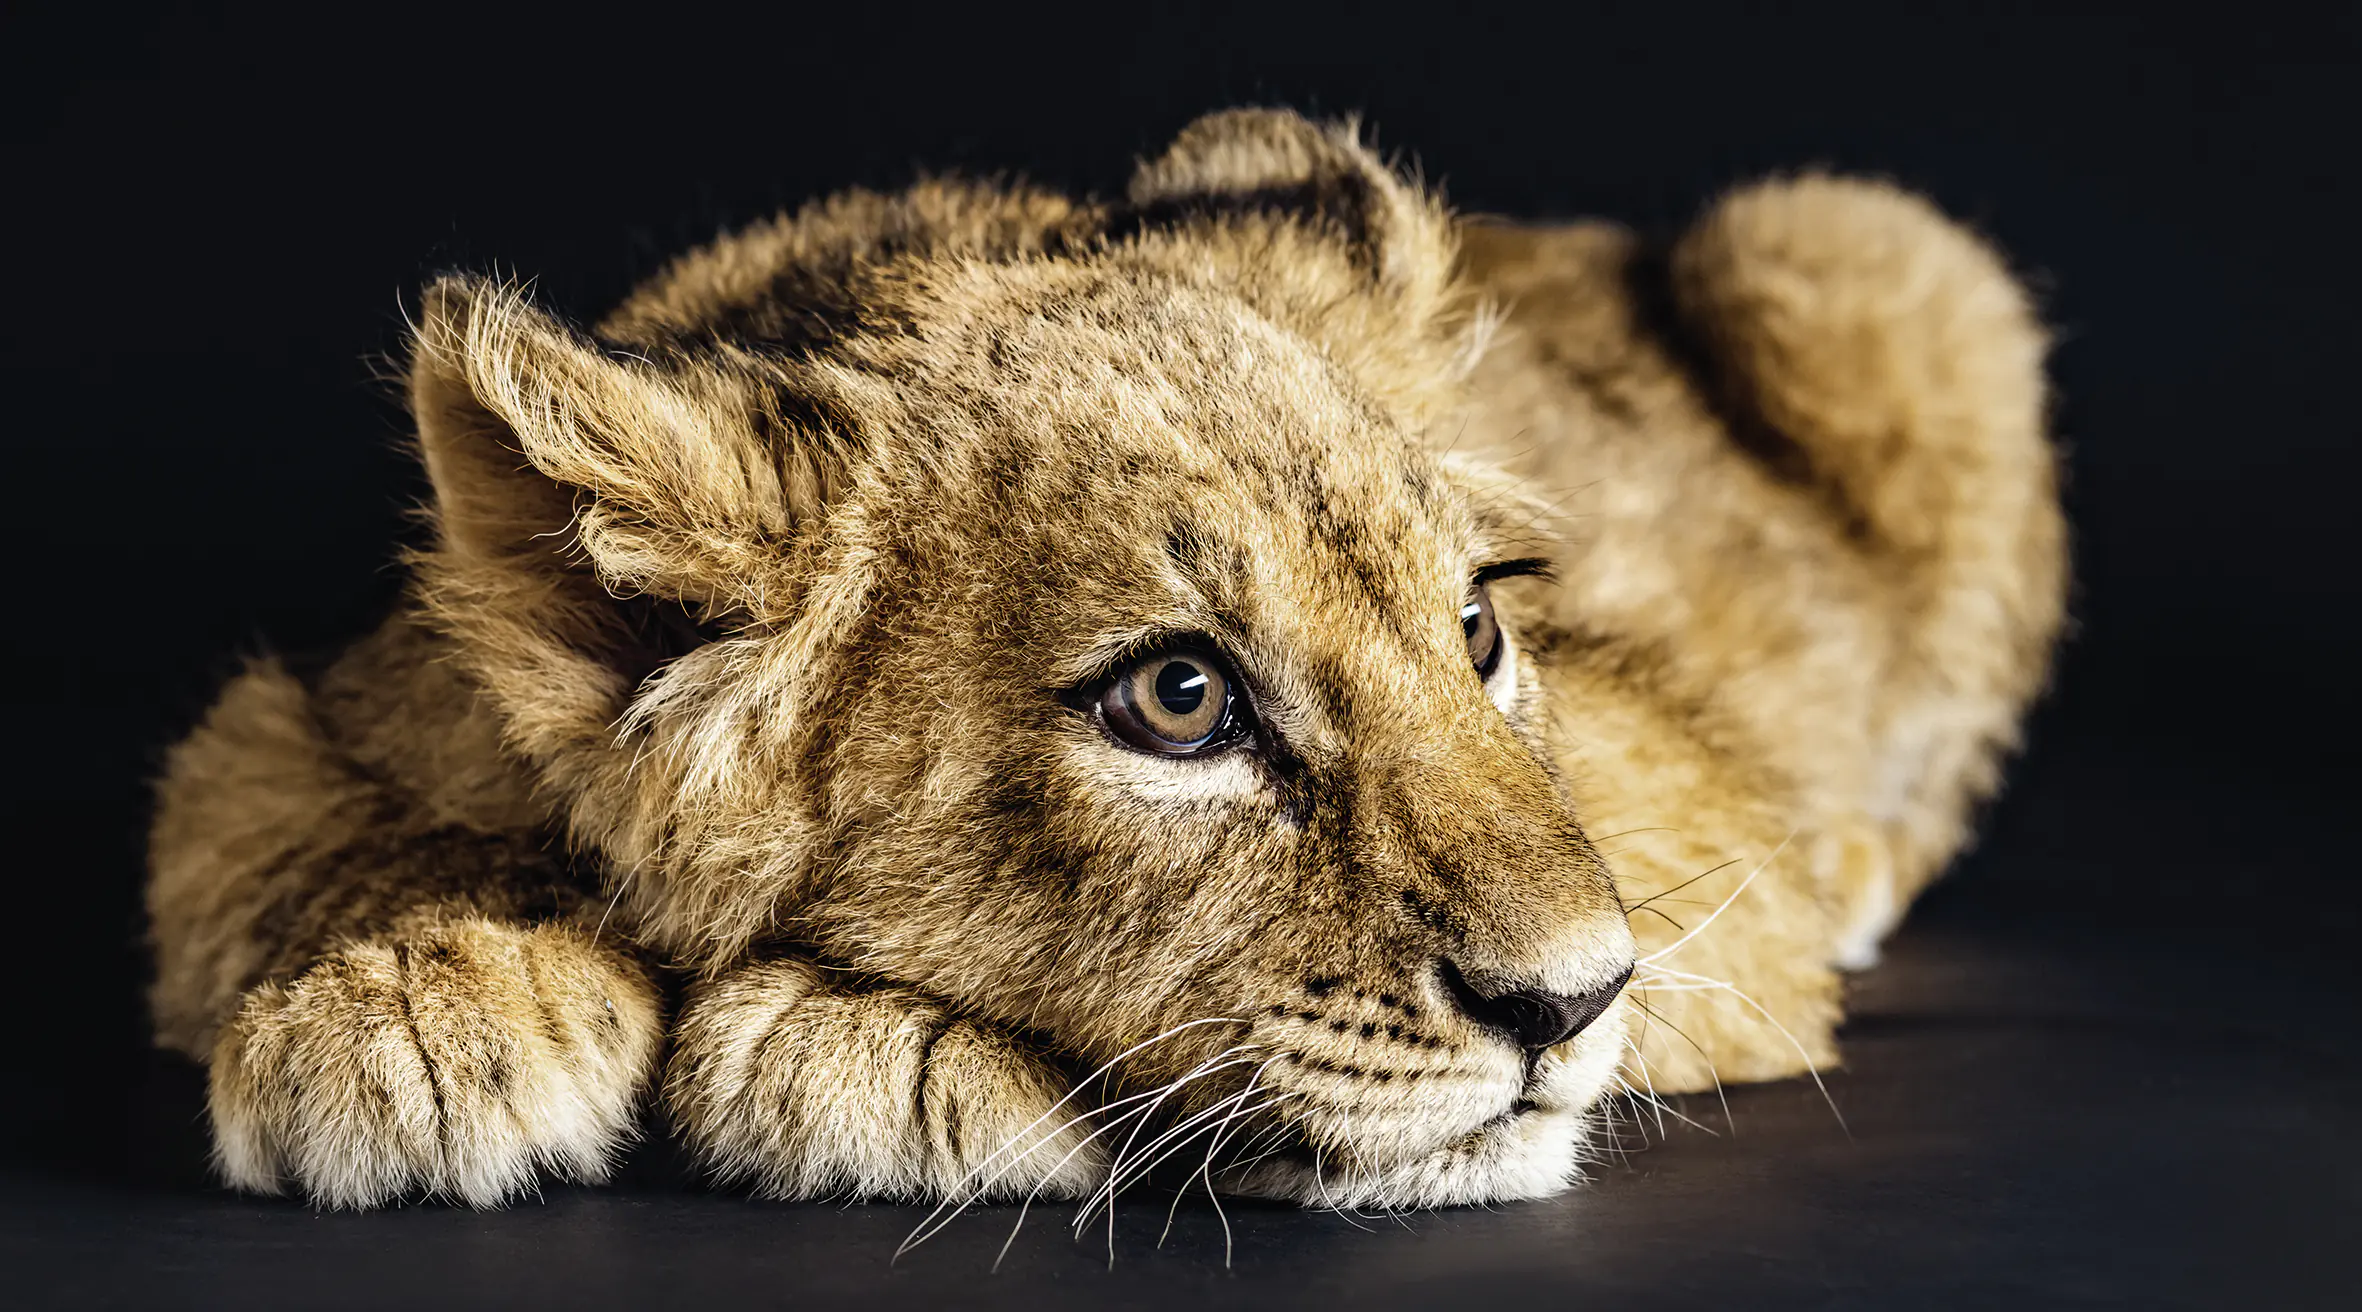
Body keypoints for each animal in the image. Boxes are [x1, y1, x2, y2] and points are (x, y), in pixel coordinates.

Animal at [145, 108, 2063, 1212]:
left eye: (1477, 630)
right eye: (1180, 699)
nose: (1570, 1004)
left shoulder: (1685, 791)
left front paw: (861, 1048)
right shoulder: (296, 716)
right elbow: (311, 830)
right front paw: (411, 1012)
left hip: (1871, 253)